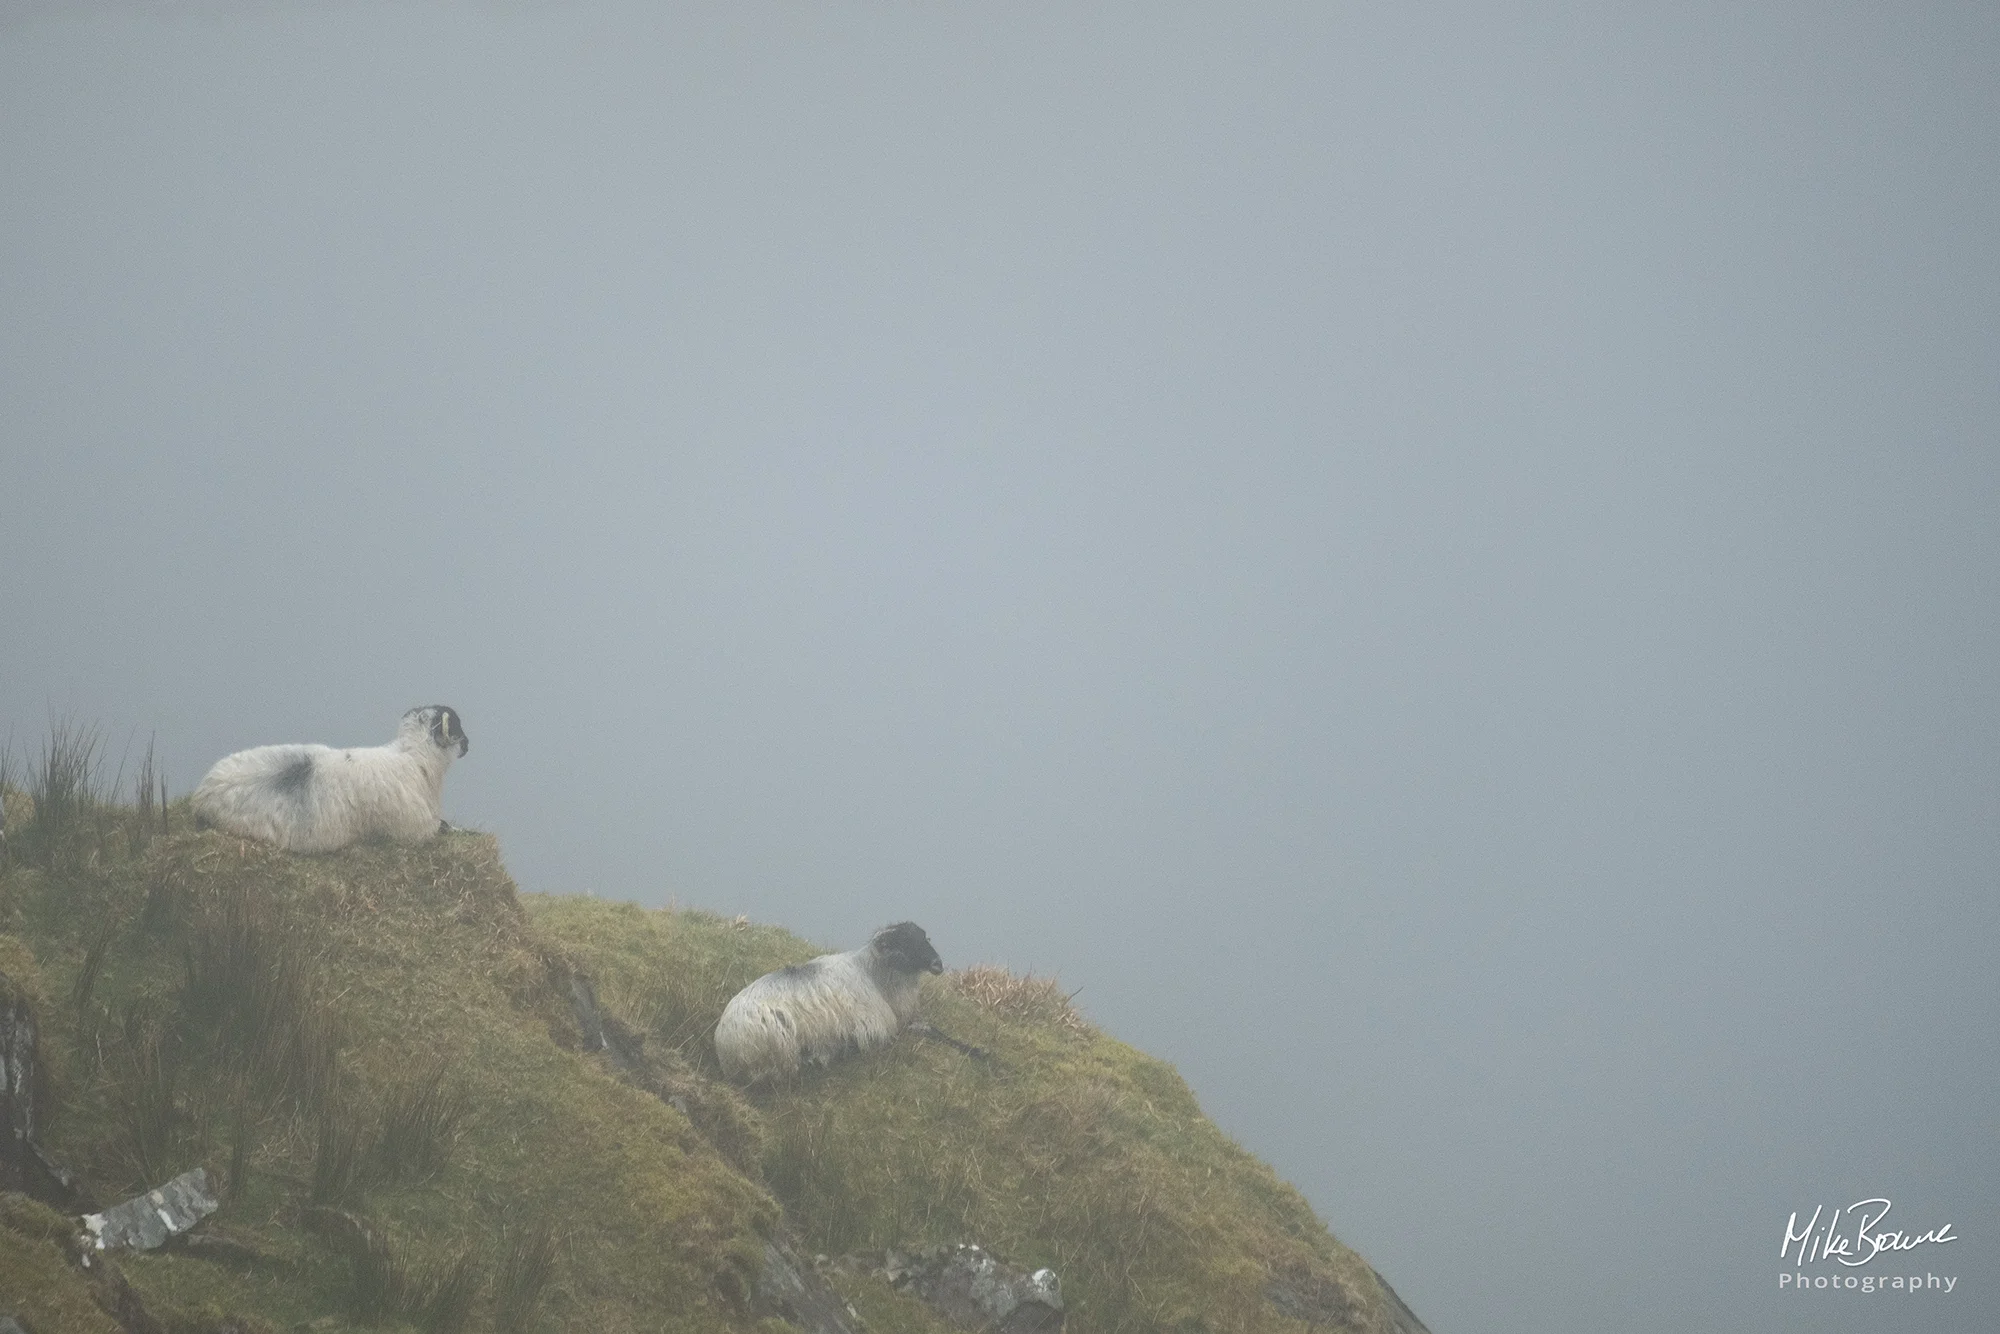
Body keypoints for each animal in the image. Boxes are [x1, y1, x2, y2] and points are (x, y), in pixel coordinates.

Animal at [187, 700, 468, 856]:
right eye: (457, 726)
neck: (415, 758)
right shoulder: (414, 831)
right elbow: (443, 828)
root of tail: (203, 794)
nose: (467, 746)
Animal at [712, 924, 944, 1088]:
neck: (872, 975)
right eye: (904, 942)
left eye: (924, 938)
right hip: (781, 1047)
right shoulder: (871, 1029)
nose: (938, 964)